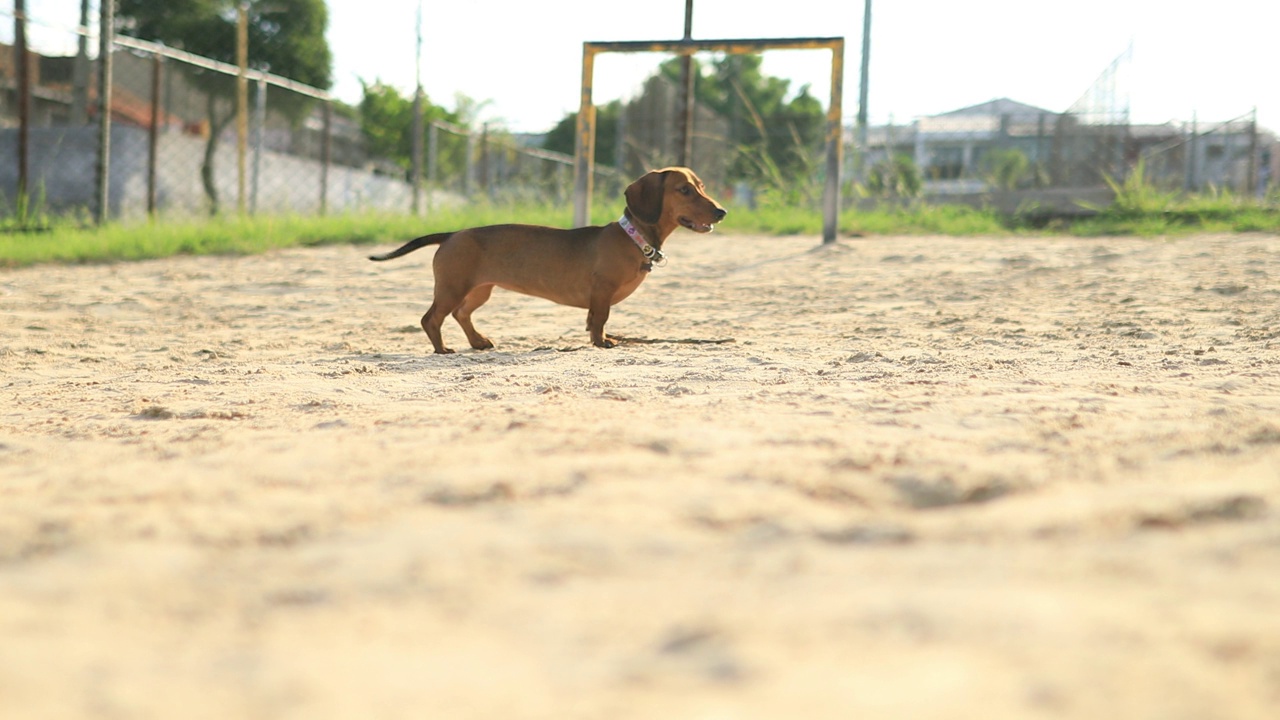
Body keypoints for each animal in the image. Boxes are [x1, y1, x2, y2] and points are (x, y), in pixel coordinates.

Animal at [373, 165, 727, 351]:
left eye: (701, 186)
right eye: (684, 190)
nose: (722, 212)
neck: (633, 237)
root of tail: (450, 234)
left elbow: (594, 321)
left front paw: (601, 338)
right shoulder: (602, 290)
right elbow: (600, 319)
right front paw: (602, 342)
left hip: (478, 290)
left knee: (462, 314)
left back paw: (478, 341)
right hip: (451, 287)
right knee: (431, 318)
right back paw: (442, 349)